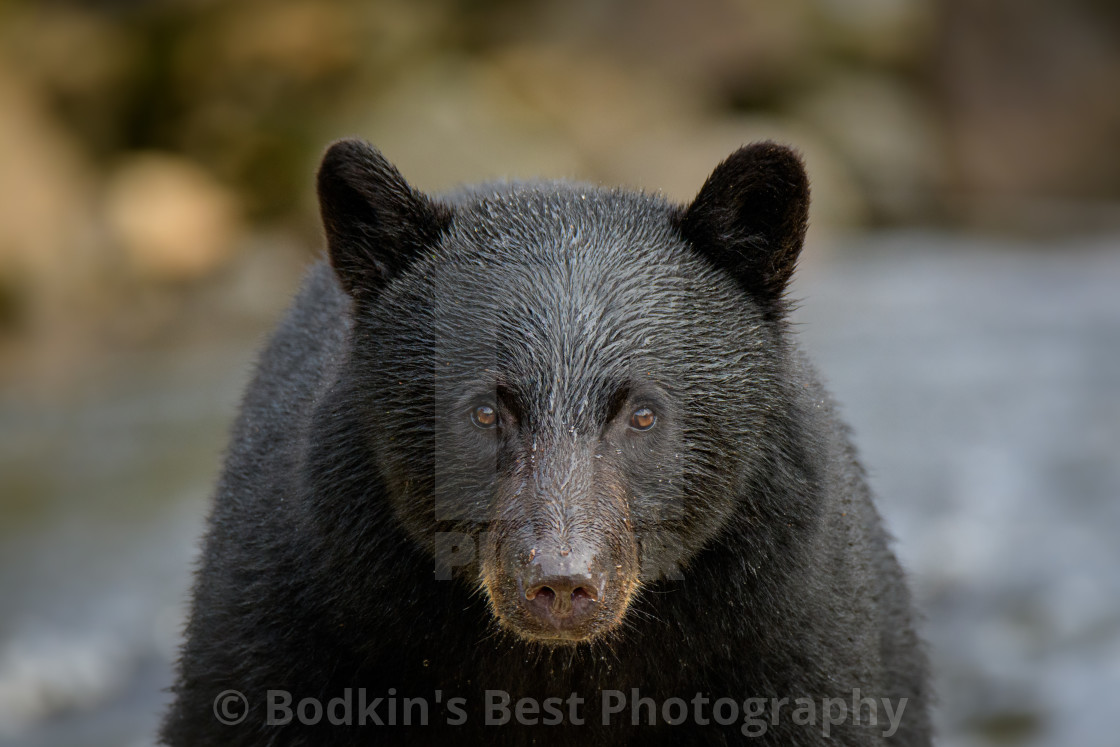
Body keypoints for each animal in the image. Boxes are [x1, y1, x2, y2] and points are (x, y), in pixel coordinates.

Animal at [160, 139, 927, 747]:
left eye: (643, 413)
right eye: (484, 411)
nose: (561, 582)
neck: (555, 674)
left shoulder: (792, 644)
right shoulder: (296, 634)